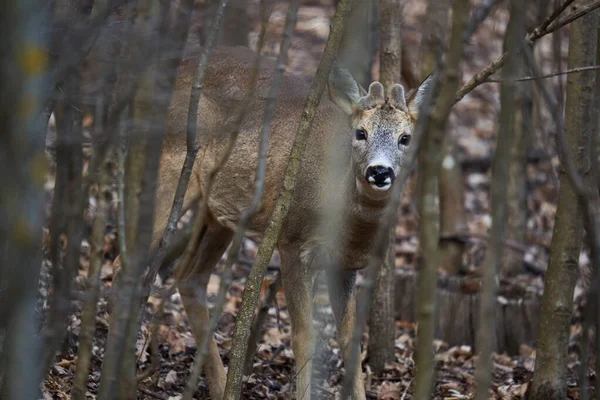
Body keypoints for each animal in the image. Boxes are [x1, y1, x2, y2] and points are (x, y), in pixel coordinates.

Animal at [150, 46, 432, 400]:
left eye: (405, 138)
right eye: (361, 133)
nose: (379, 171)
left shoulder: (344, 264)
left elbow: (350, 341)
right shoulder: (292, 243)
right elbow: (303, 337)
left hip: (219, 211)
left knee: (189, 276)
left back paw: (220, 386)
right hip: (171, 167)